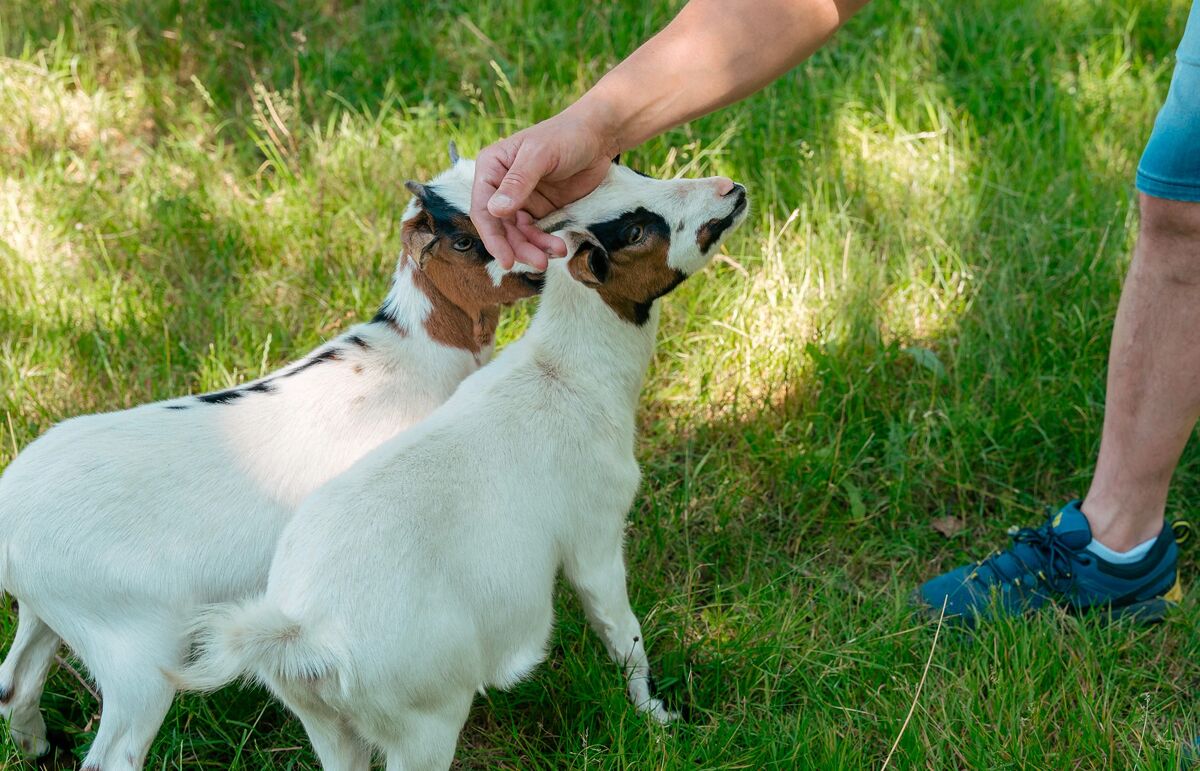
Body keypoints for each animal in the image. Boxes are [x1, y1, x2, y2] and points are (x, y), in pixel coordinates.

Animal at [0, 145, 540, 768]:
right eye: (465, 241)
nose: (540, 269)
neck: (414, 352)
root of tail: (7, 519)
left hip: (49, 610)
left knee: (15, 683)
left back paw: (38, 746)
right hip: (133, 645)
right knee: (113, 752)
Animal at [177, 162, 748, 768]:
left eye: (631, 168)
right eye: (635, 232)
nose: (728, 188)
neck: (566, 374)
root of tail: (302, 632)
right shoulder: (594, 535)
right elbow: (622, 631)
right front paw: (656, 716)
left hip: (325, 723)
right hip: (423, 720)